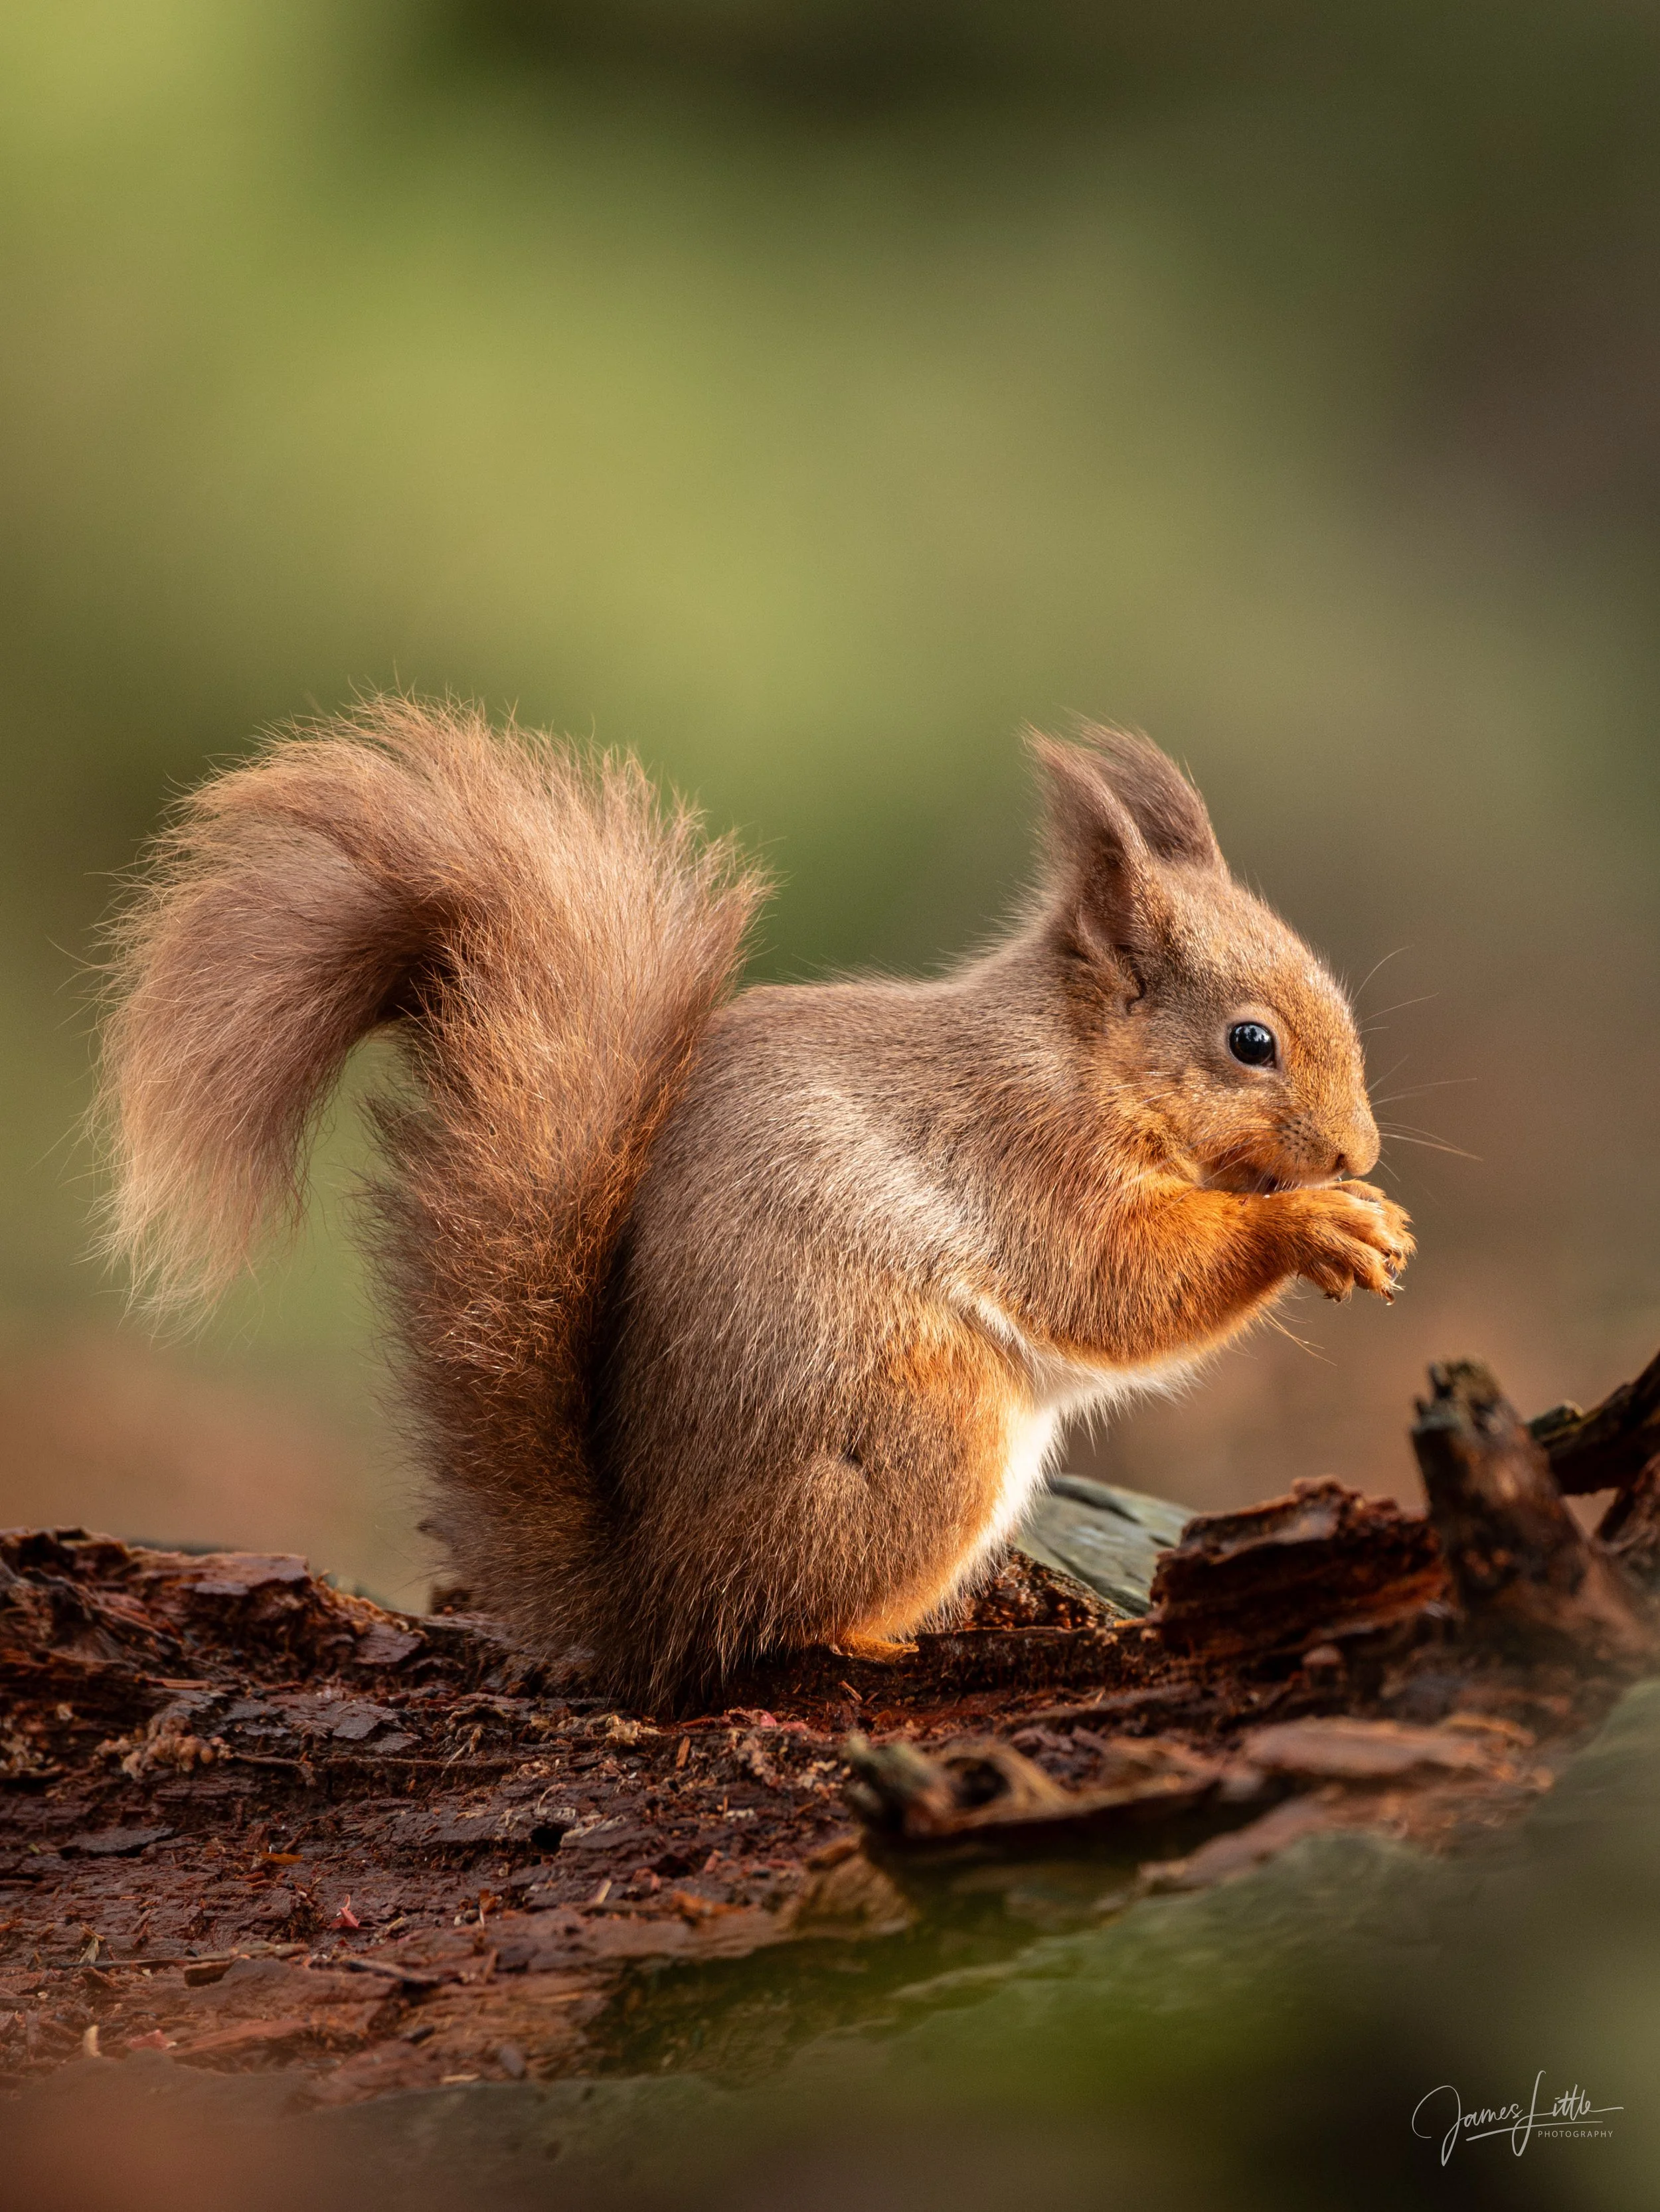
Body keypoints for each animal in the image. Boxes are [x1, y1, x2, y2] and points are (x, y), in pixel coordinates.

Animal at [99, 697, 1412, 1708]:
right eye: (1251, 1042)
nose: (1359, 1148)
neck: (1083, 1060)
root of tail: (652, 1596)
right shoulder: (1029, 1157)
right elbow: (1119, 1284)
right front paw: (1320, 1224)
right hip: (922, 1433)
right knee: (779, 1627)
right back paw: (884, 1643)